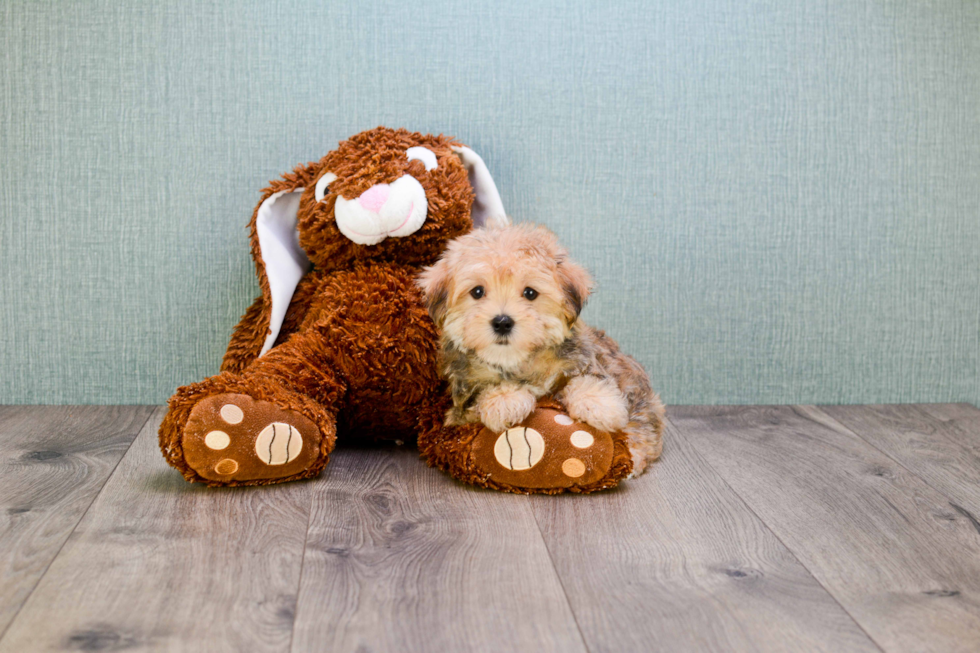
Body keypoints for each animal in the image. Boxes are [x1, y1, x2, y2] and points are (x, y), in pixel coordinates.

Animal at [418, 224, 664, 474]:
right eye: (477, 292)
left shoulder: (584, 358)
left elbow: (588, 379)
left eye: (530, 293)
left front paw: (598, 403)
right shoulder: (460, 407)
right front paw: (505, 400)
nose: (502, 322)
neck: (517, 362)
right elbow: (484, 395)